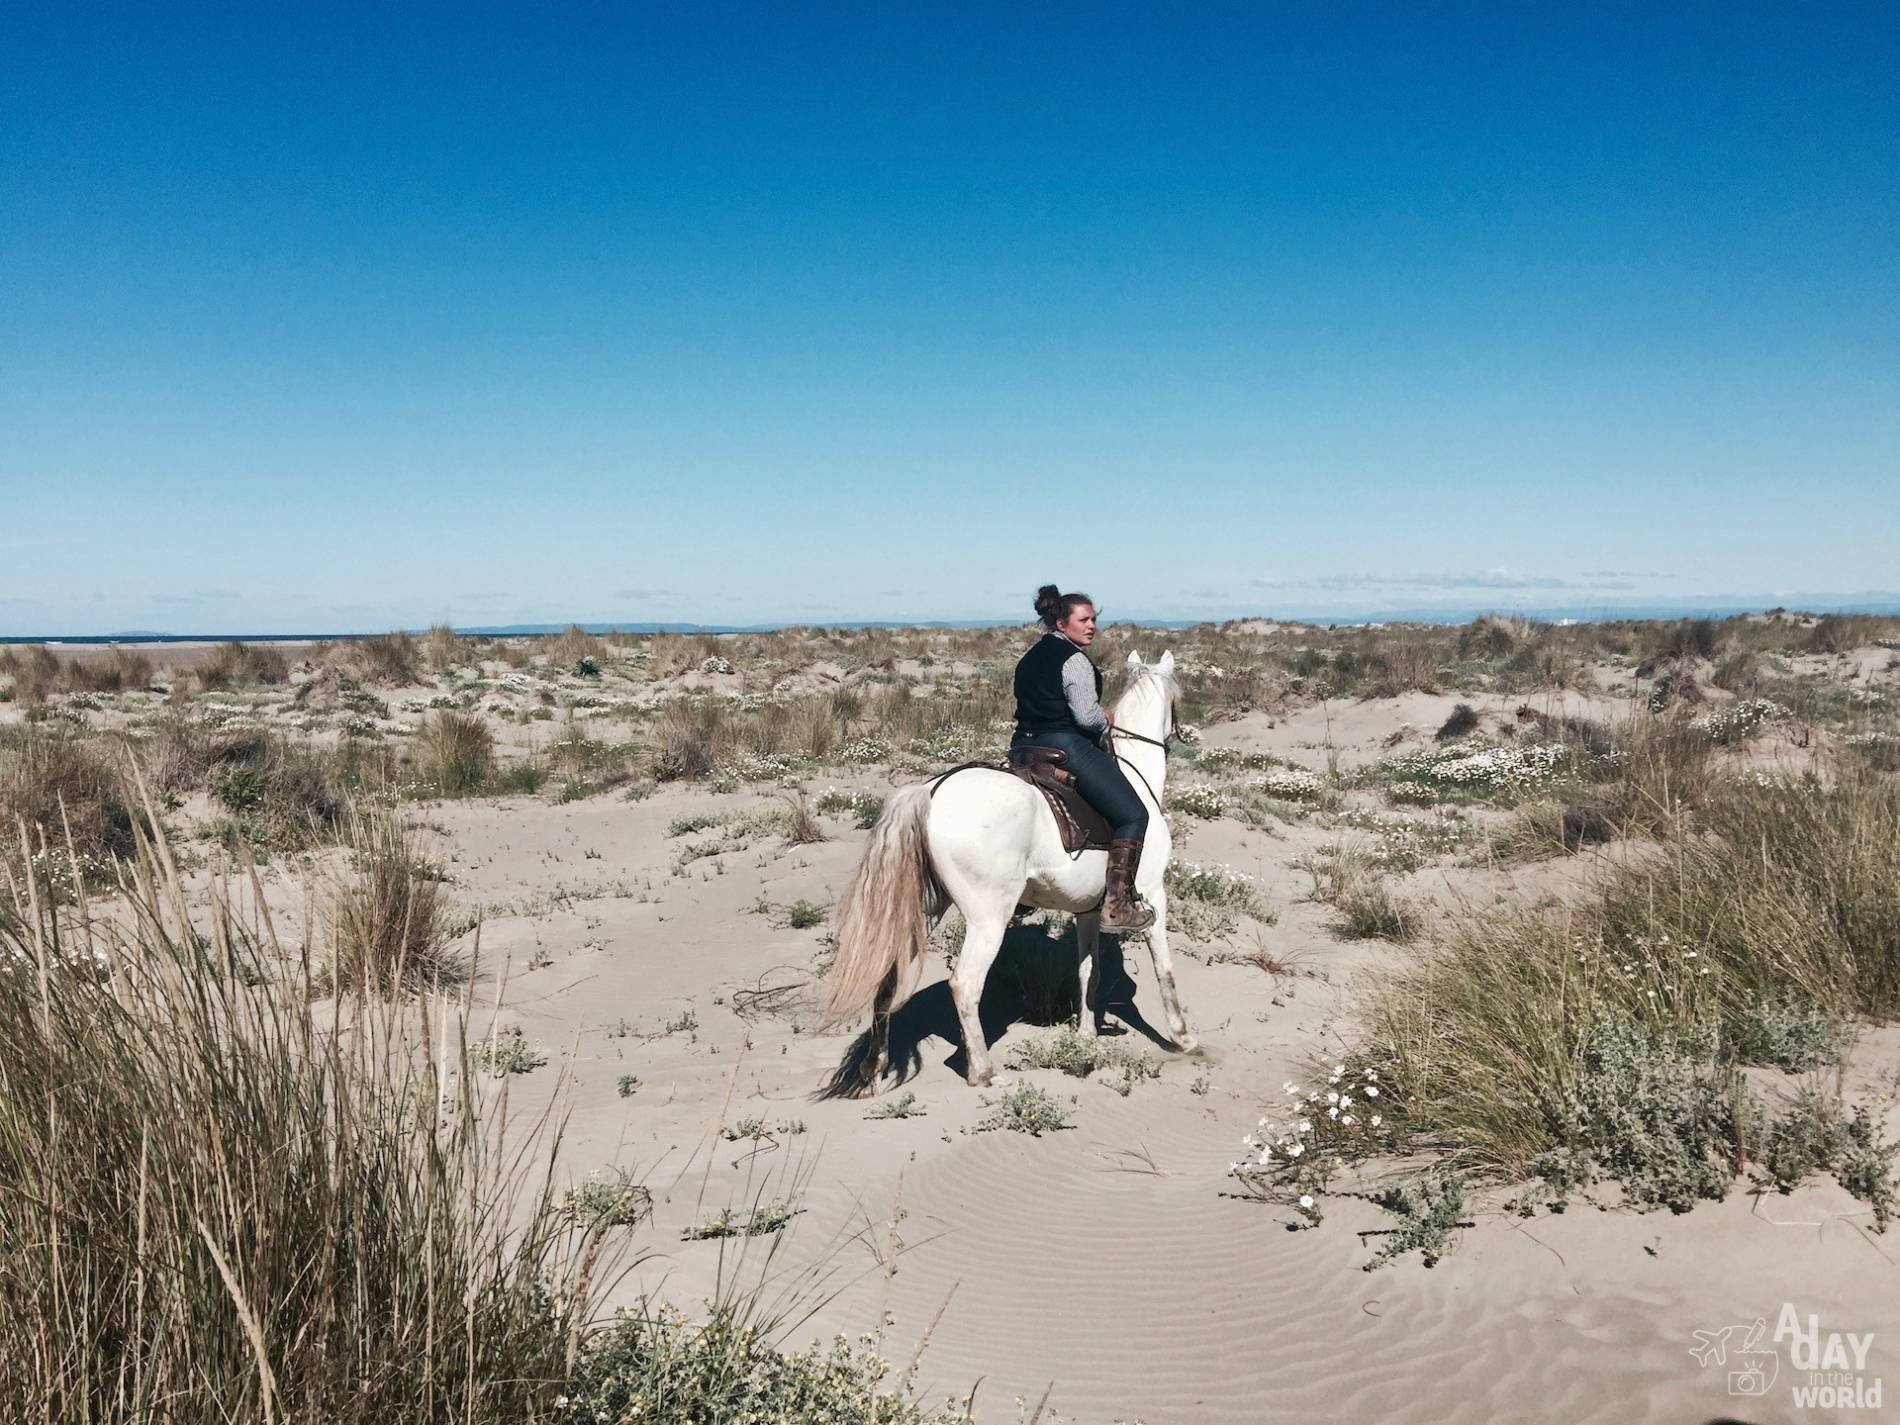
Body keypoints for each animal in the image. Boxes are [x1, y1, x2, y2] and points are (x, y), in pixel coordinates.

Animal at [817, 653, 1185, 1086]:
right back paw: (982, 1071)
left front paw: (1086, 1035)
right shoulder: (1154, 895)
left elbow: (1088, 973)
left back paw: (874, 1067)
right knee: (965, 984)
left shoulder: (1089, 911)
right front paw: (1184, 1038)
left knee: (888, 977)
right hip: (989, 916)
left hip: (925, 908)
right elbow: (1164, 970)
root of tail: (931, 792)